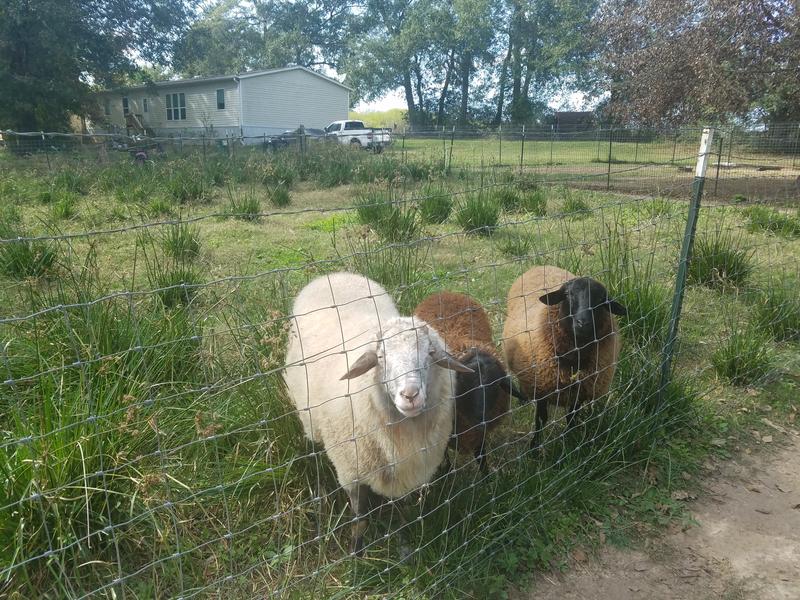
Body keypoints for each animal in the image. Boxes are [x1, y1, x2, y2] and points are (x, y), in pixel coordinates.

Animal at [282, 272, 472, 555]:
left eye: (430, 354)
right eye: (380, 357)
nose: (410, 395)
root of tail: (336, 274)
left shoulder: (407, 468)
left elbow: (403, 511)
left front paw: (404, 543)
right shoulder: (350, 470)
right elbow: (360, 517)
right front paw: (356, 552)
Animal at [414, 292, 526, 471]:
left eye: (495, 385)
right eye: (464, 385)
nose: (481, 420)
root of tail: (445, 292)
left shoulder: (478, 435)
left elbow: (481, 456)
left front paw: (486, 475)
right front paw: (446, 469)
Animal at [502, 266, 627, 449]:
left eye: (601, 299)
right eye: (568, 294)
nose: (583, 323)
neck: (574, 357)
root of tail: (540, 266)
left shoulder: (580, 391)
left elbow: (572, 417)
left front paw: (570, 439)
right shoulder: (542, 388)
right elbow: (541, 419)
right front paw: (534, 447)